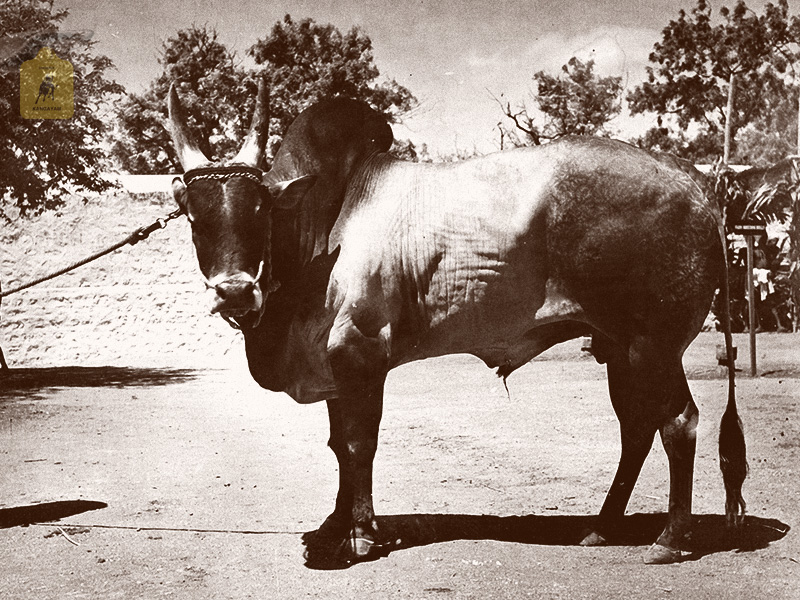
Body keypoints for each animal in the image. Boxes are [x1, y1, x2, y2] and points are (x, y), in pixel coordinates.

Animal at [166, 79, 748, 568]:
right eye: (195, 216)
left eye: (259, 211)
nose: (235, 291)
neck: (322, 226)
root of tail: (694, 183)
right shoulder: (333, 366)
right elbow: (338, 446)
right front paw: (335, 525)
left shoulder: (361, 353)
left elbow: (357, 445)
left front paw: (360, 535)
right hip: (618, 349)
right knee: (637, 430)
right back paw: (602, 528)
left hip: (654, 346)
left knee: (678, 423)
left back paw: (670, 539)